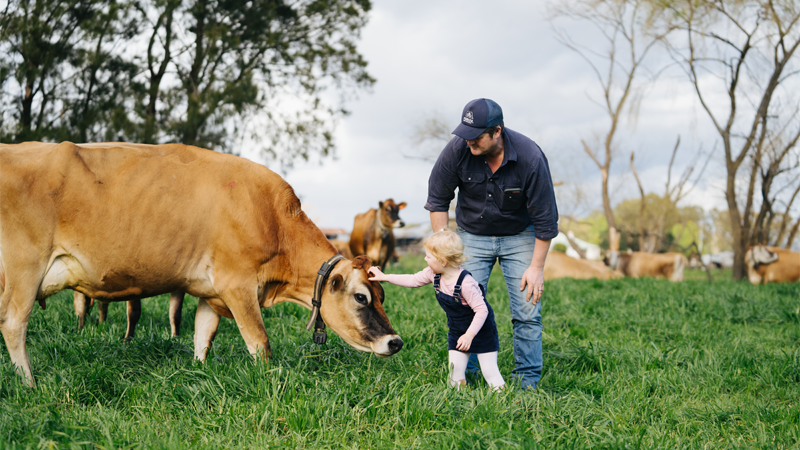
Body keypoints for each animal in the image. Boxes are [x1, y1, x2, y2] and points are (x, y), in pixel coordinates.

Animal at [0, 141, 403, 386]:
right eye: (361, 297)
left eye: (383, 294)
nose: (396, 342)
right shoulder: (238, 286)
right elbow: (259, 342)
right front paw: (266, 381)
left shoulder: (211, 294)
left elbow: (201, 336)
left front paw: (199, 373)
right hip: (25, 266)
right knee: (13, 324)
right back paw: (29, 383)